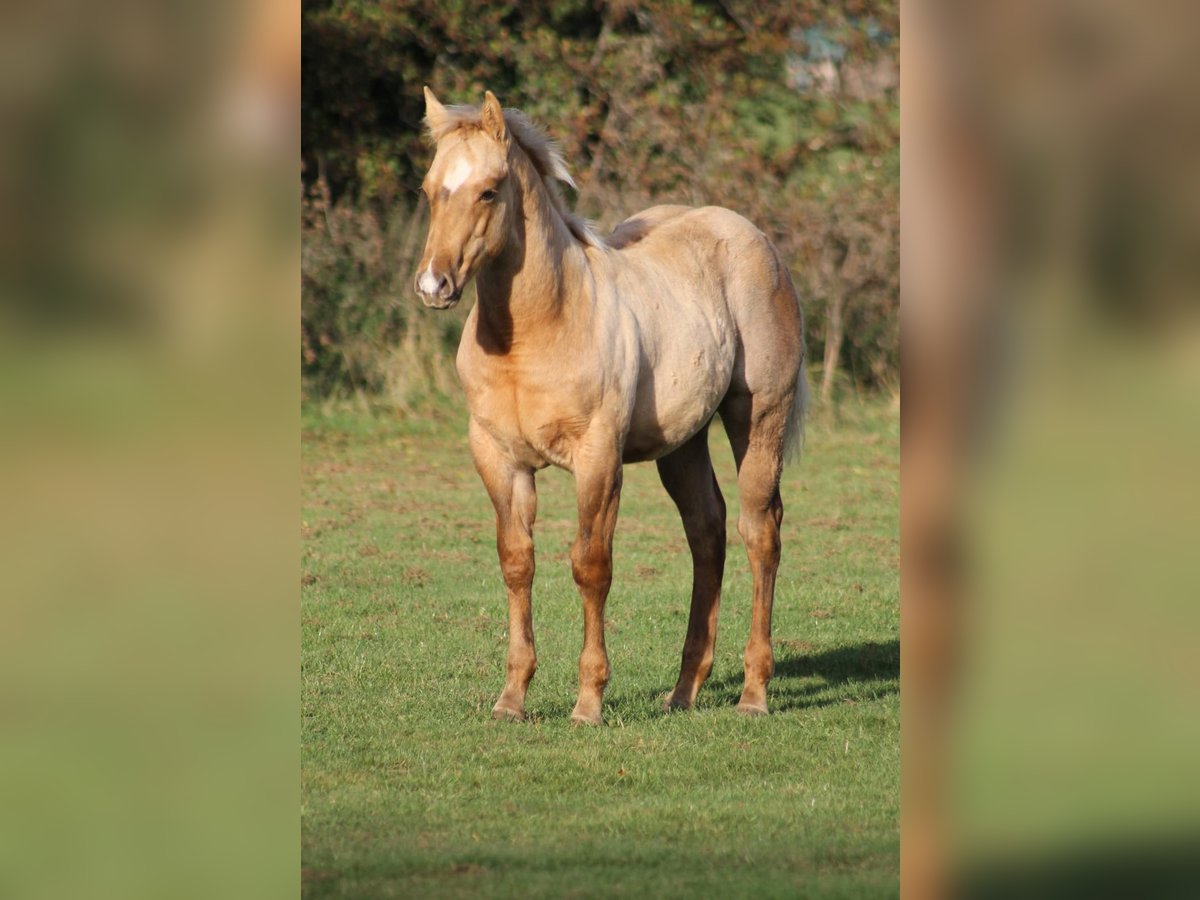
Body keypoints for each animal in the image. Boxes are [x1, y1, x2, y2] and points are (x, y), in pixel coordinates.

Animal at [414, 88, 807, 724]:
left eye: (489, 191)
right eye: (429, 190)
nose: (434, 285)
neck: (539, 329)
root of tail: (754, 237)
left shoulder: (597, 457)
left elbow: (591, 566)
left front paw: (588, 702)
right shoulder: (497, 457)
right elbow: (516, 562)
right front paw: (511, 699)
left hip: (759, 418)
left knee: (760, 530)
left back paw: (753, 694)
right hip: (682, 443)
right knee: (708, 530)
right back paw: (683, 691)